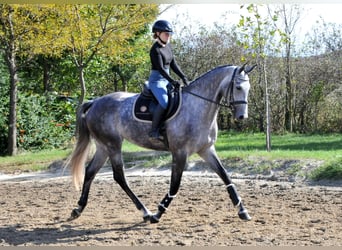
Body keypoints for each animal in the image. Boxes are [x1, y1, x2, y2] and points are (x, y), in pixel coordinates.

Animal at [67, 63, 254, 224]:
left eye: (248, 89)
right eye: (238, 87)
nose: (242, 117)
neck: (197, 106)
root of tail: (95, 102)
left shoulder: (207, 150)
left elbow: (225, 176)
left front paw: (243, 211)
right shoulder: (180, 152)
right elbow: (175, 185)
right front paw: (158, 212)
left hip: (103, 147)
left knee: (90, 171)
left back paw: (78, 209)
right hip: (112, 145)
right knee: (119, 177)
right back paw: (146, 212)